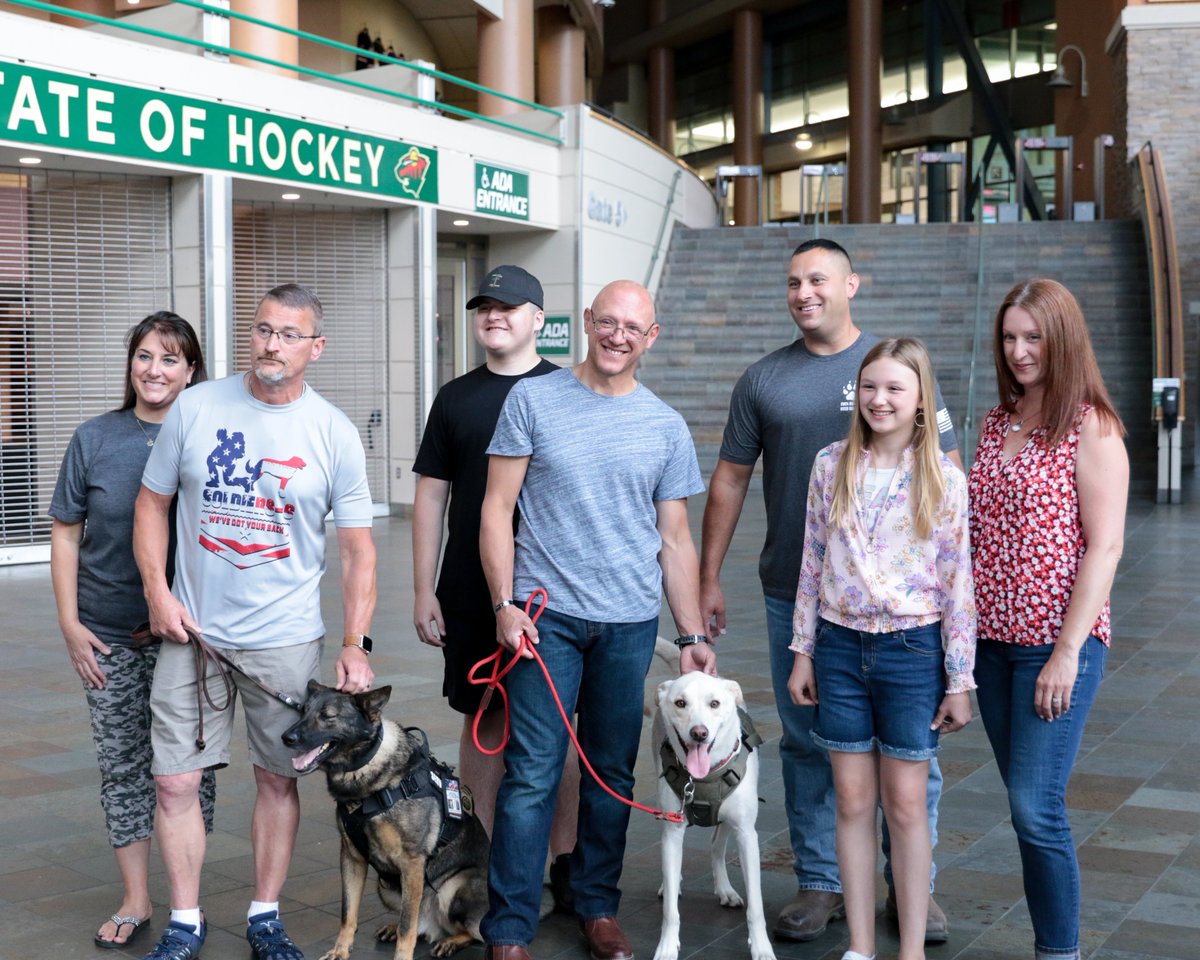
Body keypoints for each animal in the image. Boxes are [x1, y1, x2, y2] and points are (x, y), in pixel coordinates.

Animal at [280, 681, 487, 960]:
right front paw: (340, 950)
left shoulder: (412, 862)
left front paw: (401, 956)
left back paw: (451, 941)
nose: (286, 738)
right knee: (418, 923)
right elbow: (348, 913)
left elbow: (407, 924)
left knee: (471, 930)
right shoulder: (352, 858)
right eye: (303, 711)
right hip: (386, 887)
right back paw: (396, 928)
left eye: (328, 716)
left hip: (452, 887)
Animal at [652, 667, 772, 960]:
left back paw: (725, 889)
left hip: (728, 820)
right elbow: (670, 911)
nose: (699, 733)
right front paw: (667, 947)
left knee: (716, 846)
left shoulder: (747, 835)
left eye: (714, 704)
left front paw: (762, 948)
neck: (702, 778)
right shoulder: (673, 830)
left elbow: (756, 906)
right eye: (680, 703)